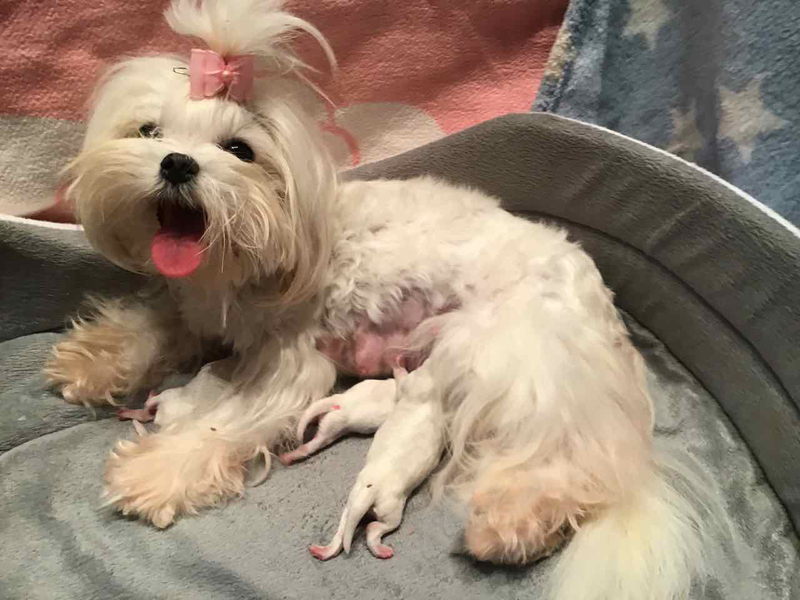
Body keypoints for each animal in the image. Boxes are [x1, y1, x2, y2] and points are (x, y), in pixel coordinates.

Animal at [44, 0, 737, 597]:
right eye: (149, 130)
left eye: (240, 150)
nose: (177, 163)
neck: (245, 260)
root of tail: (596, 294)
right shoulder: (200, 307)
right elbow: (152, 324)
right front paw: (92, 360)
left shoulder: (291, 366)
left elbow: (227, 423)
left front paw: (155, 473)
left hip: (508, 358)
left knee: (570, 462)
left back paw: (510, 524)